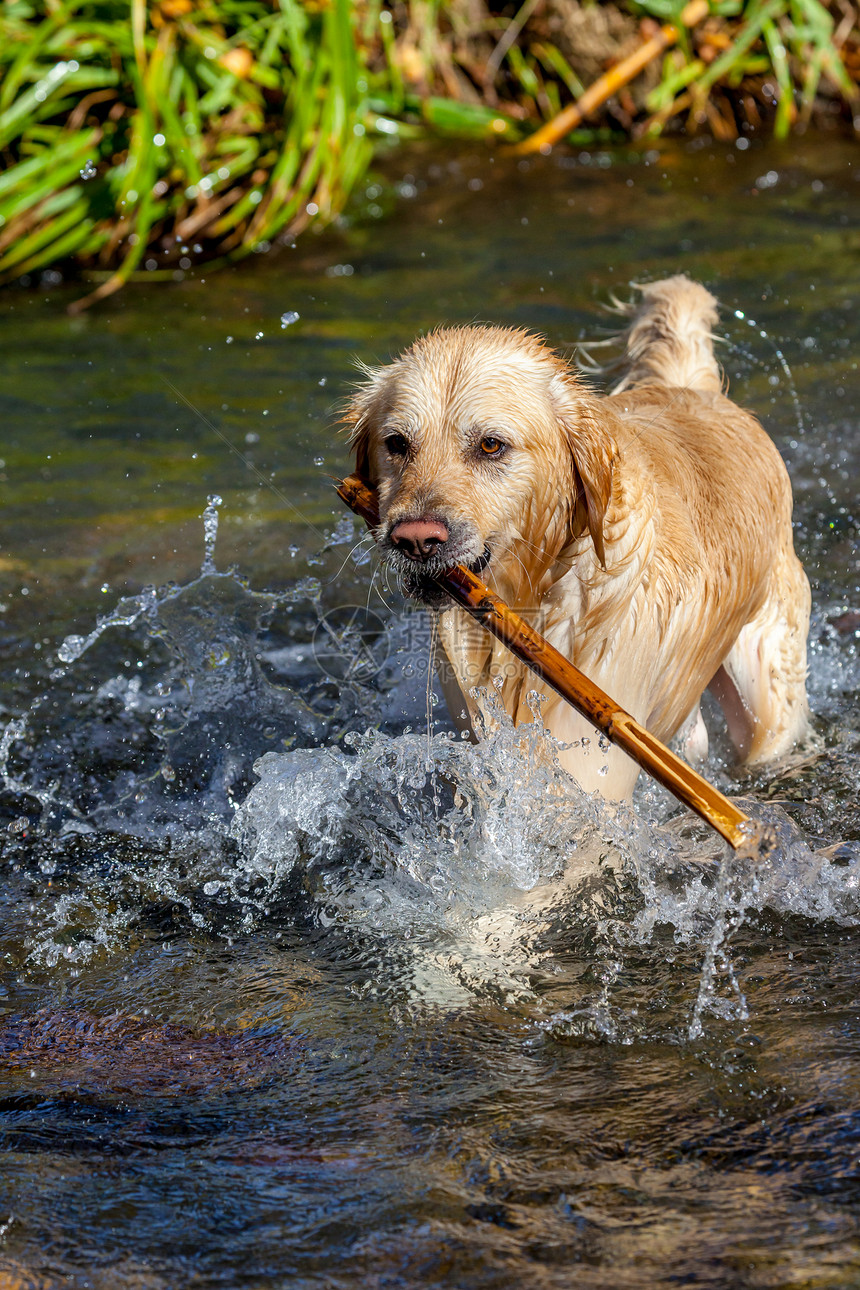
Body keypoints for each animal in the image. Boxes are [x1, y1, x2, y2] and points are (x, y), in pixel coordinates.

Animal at [345, 274, 814, 794]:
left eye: (490, 445)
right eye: (396, 444)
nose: (415, 539)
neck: (532, 599)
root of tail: (690, 389)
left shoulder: (588, 766)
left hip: (766, 687)